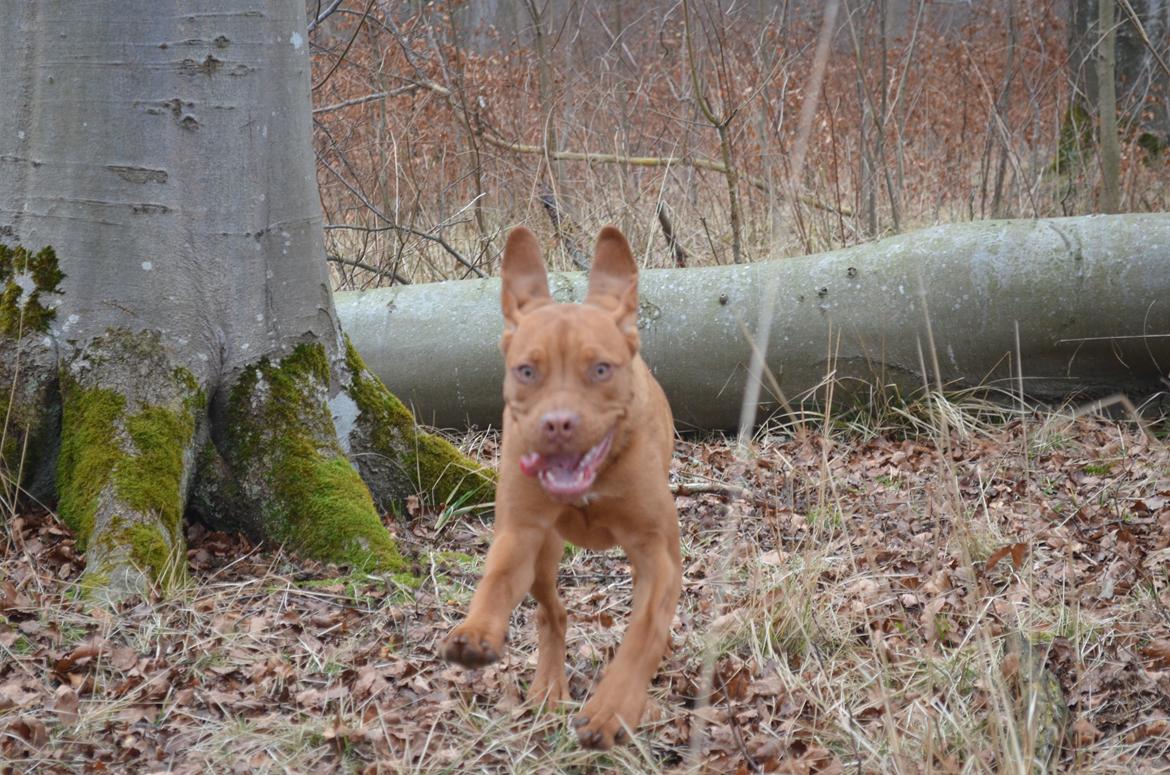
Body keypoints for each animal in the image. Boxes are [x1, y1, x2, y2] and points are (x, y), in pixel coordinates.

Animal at [439, 225, 683, 753]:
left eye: (601, 369)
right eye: (527, 371)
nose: (557, 424)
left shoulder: (657, 554)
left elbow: (642, 633)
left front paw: (612, 708)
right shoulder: (520, 533)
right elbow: (495, 580)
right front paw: (476, 630)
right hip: (546, 554)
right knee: (552, 613)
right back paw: (548, 688)